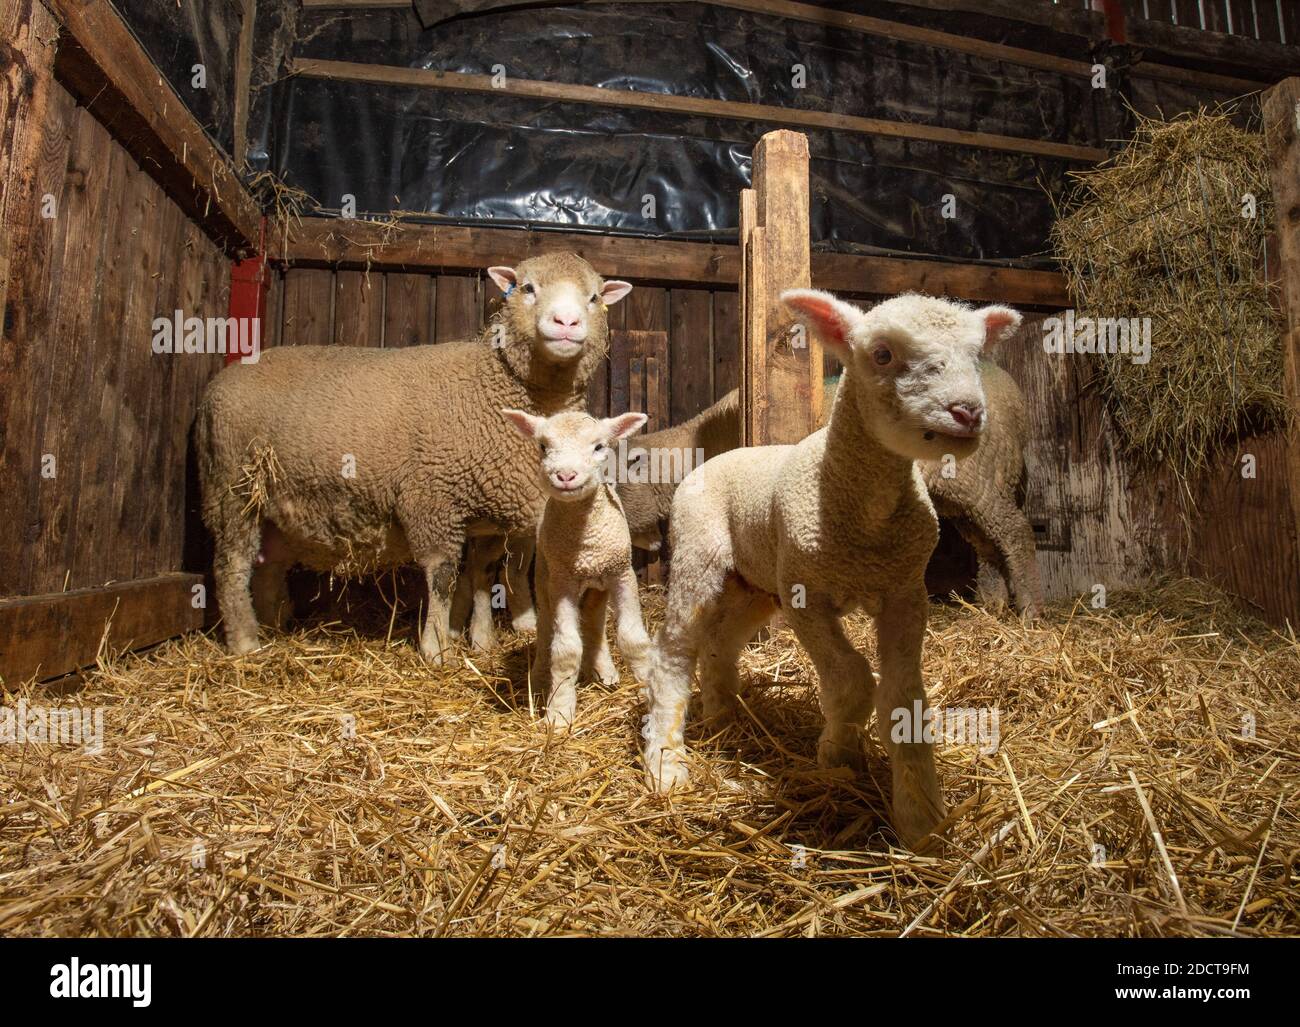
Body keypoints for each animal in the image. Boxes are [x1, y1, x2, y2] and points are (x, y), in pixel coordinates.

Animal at [501, 405, 655, 728]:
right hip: (544, 576)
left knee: (594, 621)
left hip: (599, 585)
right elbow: (565, 649)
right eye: (542, 446)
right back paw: (539, 678)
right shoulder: (563, 583)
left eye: (598, 447)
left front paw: (649, 689)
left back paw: (603, 670)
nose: (565, 475)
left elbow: (633, 639)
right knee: (546, 628)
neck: (587, 541)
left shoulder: (622, 574)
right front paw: (559, 712)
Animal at [644, 289, 1019, 852]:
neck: (864, 519)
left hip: (756, 583)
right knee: (674, 648)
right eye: (881, 354)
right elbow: (851, 680)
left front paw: (922, 818)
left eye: (975, 354)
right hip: (699, 557)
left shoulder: (905, 594)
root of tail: (718, 456)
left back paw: (722, 712)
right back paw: (666, 762)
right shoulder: (807, 596)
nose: (967, 412)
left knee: (721, 643)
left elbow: (903, 696)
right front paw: (839, 755)